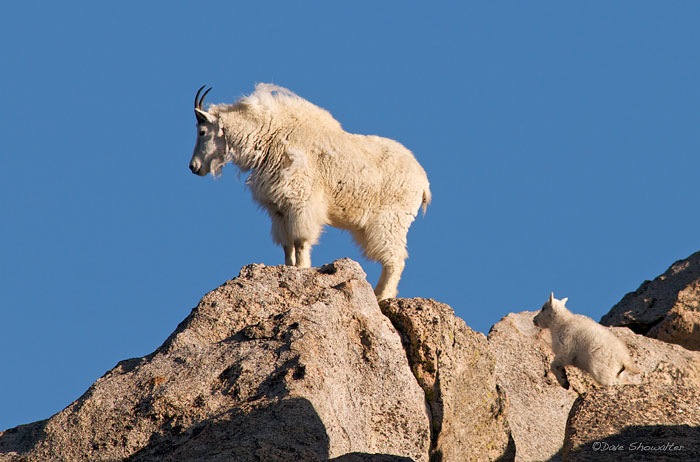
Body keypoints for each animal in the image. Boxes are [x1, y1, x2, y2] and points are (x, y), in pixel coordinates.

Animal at [186, 83, 430, 302]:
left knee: (395, 259)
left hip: (391, 220)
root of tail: (423, 182)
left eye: (202, 131)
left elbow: (301, 240)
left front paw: (303, 269)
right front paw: (288, 270)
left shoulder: (301, 202)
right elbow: (287, 245)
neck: (270, 136)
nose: (194, 167)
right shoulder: (278, 210)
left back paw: (382, 296)